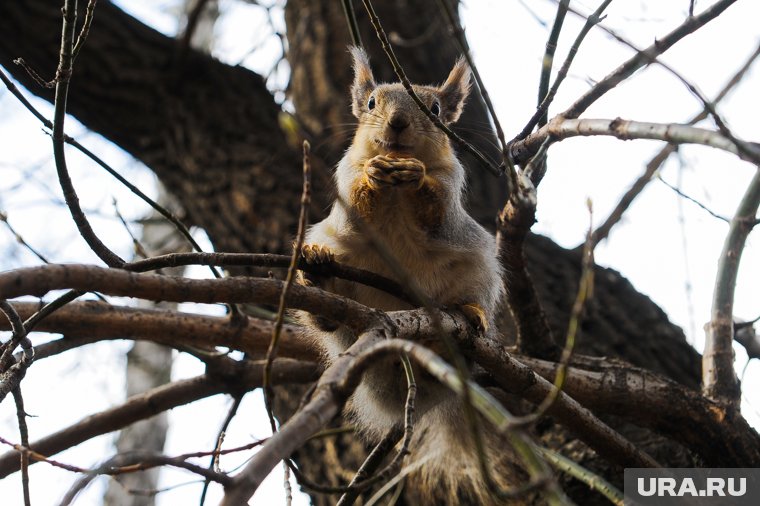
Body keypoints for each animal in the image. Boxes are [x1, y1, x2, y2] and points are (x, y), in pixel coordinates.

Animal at [296, 46, 510, 502]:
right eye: (371, 103)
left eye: (434, 109)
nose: (397, 123)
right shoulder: (344, 177)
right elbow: (358, 202)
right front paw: (374, 175)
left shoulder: (451, 189)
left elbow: (436, 211)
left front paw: (415, 175)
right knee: (328, 319)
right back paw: (320, 275)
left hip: (478, 268)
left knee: (471, 298)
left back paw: (469, 315)